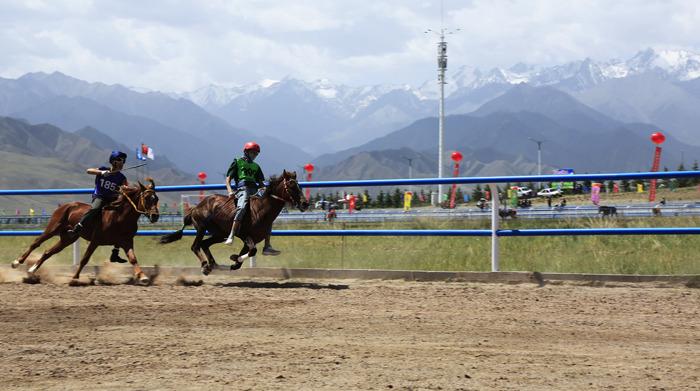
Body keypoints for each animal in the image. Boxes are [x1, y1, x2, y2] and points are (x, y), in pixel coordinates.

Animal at [11, 179, 160, 284]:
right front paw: (74, 278)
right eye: (147, 198)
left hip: (68, 238)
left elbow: (133, 259)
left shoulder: (126, 241)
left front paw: (143, 277)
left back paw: (32, 270)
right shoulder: (95, 240)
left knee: (48, 252)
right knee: (36, 243)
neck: (119, 216)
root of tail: (66, 205)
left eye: (156, 198)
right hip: (52, 229)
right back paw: (17, 262)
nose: (155, 216)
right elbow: (85, 259)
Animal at [163, 171, 310, 276]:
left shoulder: (251, 240)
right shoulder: (245, 235)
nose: (305, 203)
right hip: (201, 228)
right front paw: (234, 257)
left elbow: (247, 255)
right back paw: (205, 266)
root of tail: (196, 207)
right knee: (195, 246)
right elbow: (252, 251)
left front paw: (234, 261)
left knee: (204, 244)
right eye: (291, 186)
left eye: (299, 185)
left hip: (219, 234)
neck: (259, 210)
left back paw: (215, 265)